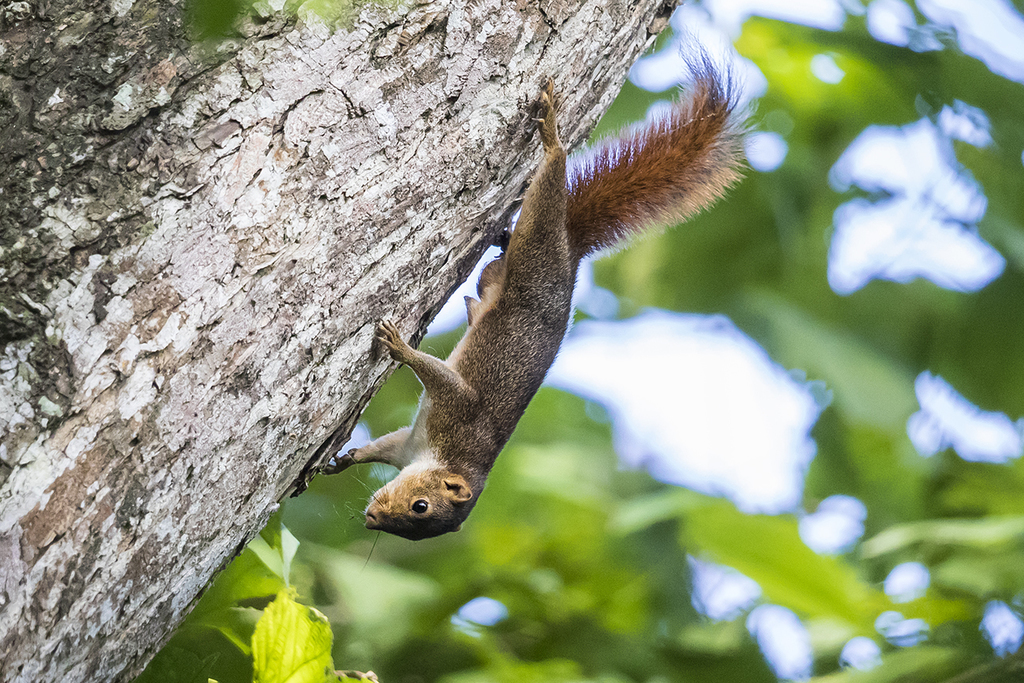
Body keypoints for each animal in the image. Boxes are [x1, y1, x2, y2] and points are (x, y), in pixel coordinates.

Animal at [323, 53, 744, 540]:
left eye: (419, 513)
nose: (372, 518)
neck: (449, 458)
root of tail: (570, 252)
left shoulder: (442, 420)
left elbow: (421, 398)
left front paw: (396, 352)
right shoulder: (437, 424)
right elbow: (407, 416)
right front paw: (349, 455)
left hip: (532, 251)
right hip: (531, 250)